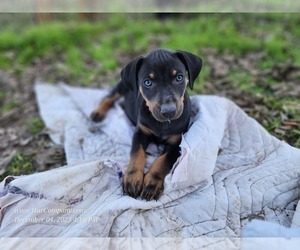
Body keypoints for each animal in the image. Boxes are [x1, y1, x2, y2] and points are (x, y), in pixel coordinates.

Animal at [91, 48, 202, 201]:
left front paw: (152, 184)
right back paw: (98, 112)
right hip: (121, 86)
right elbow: (137, 153)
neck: (162, 124)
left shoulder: (176, 143)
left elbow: (162, 161)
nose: (168, 111)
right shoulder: (140, 132)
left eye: (179, 78)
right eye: (148, 82)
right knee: (109, 97)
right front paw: (132, 179)